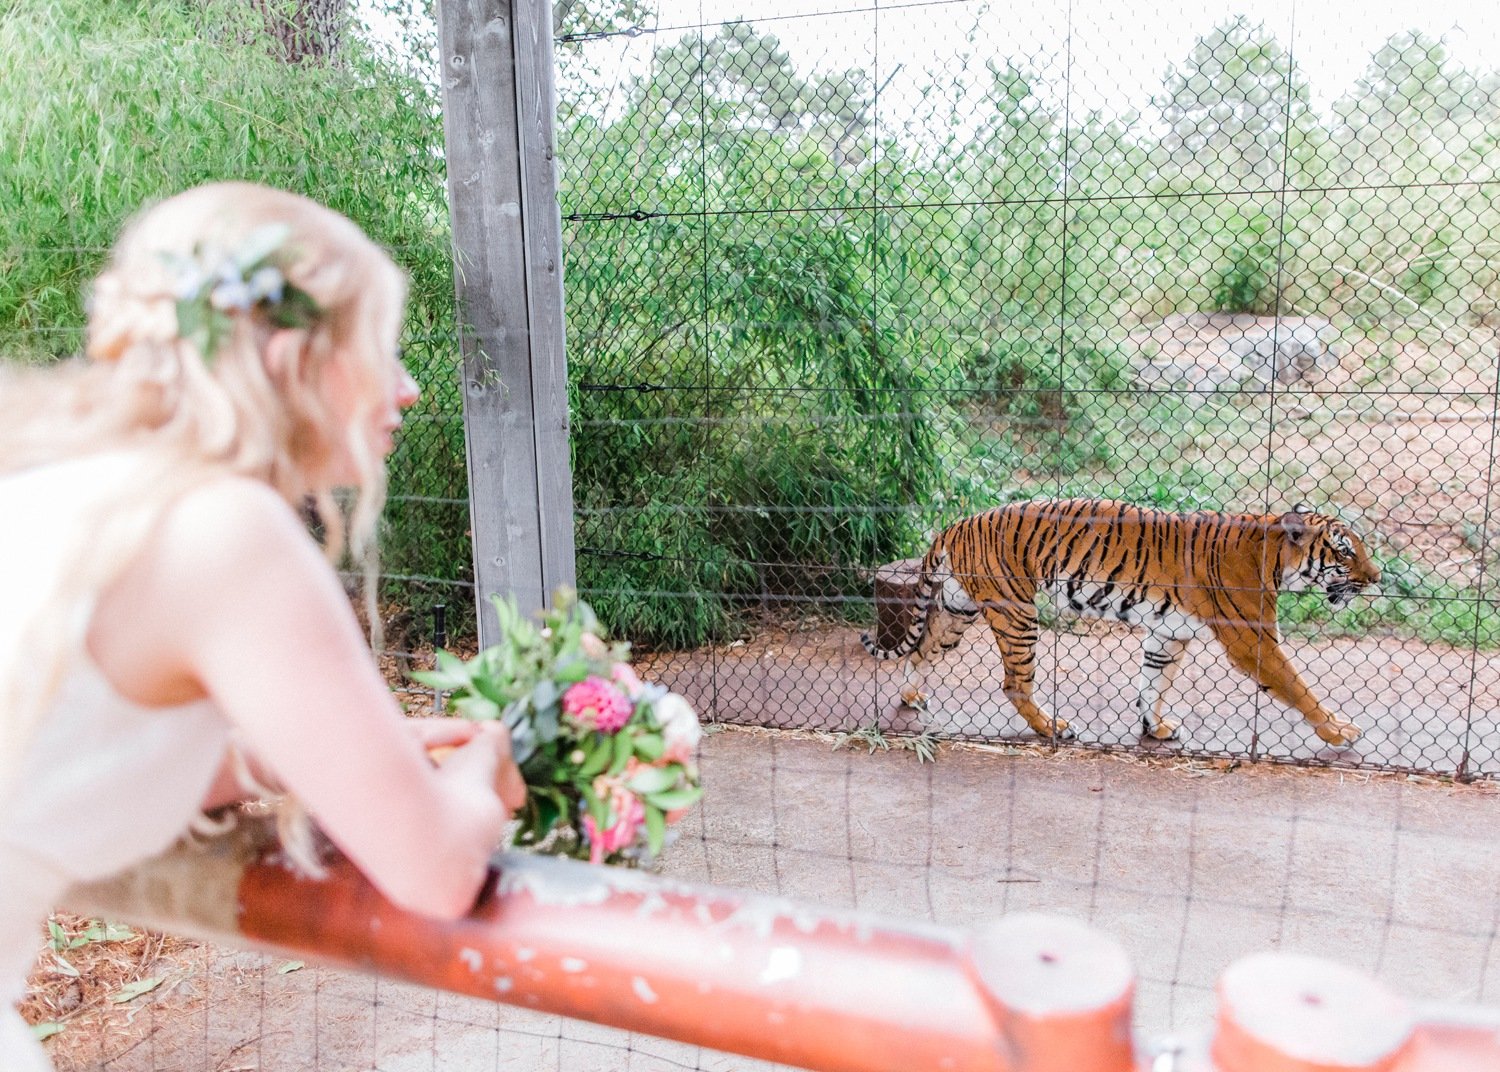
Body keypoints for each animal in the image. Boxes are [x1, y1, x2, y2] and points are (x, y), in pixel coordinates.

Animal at [870, 500, 1380, 746]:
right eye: (1345, 552)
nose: (1377, 578)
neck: (1274, 559)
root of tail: (955, 525)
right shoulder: (1252, 640)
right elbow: (1300, 687)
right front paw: (1339, 732)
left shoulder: (1167, 634)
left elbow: (1152, 684)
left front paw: (1154, 727)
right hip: (1017, 612)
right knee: (1014, 683)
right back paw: (1052, 727)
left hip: (960, 610)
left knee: (923, 649)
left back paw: (912, 697)